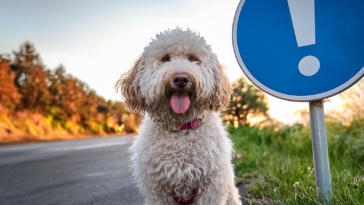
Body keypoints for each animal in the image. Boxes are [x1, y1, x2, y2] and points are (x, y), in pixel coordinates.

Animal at [116, 28, 242, 205]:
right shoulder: (157, 190)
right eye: (165, 59)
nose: (181, 78)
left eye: (193, 59)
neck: (180, 130)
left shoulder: (212, 186)